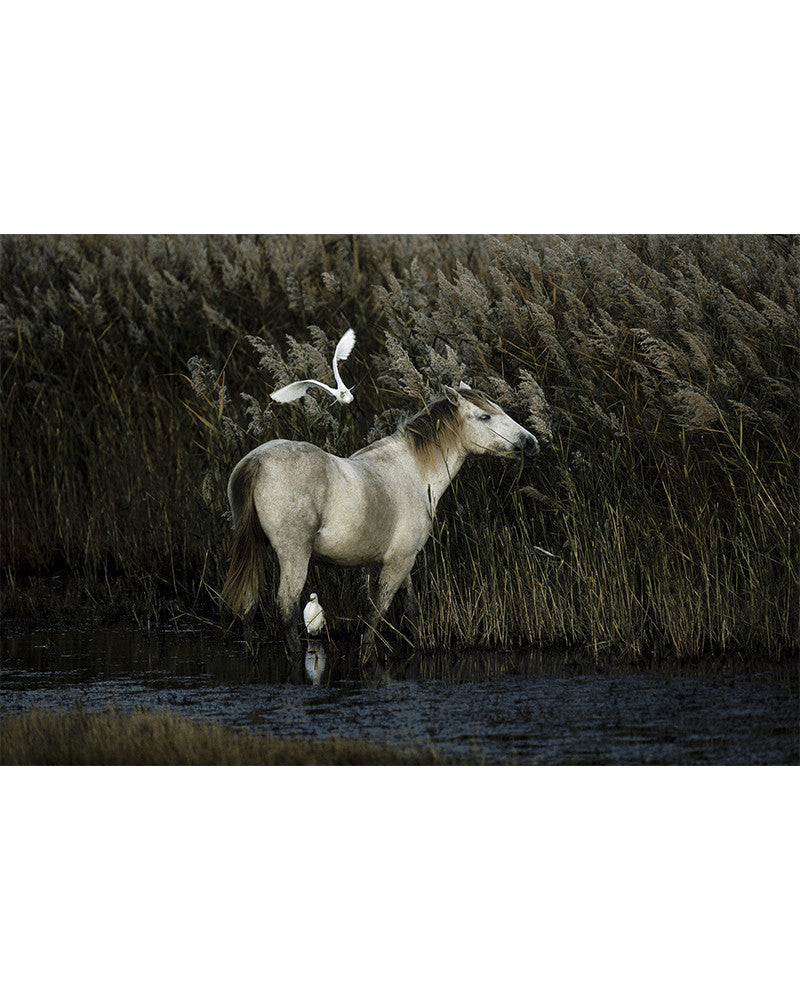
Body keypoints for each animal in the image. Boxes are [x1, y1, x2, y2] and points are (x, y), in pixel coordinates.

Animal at [220, 384, 539, 665]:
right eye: (485, 416)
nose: (531, 442)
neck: (414, 472)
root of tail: (257, 461)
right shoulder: (399, 562)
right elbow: (377, 611)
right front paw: (367, 656)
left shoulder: (394, 562)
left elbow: (409, 607)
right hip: (294, 554)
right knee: (286, 606)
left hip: (255, 549)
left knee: (248, 603)